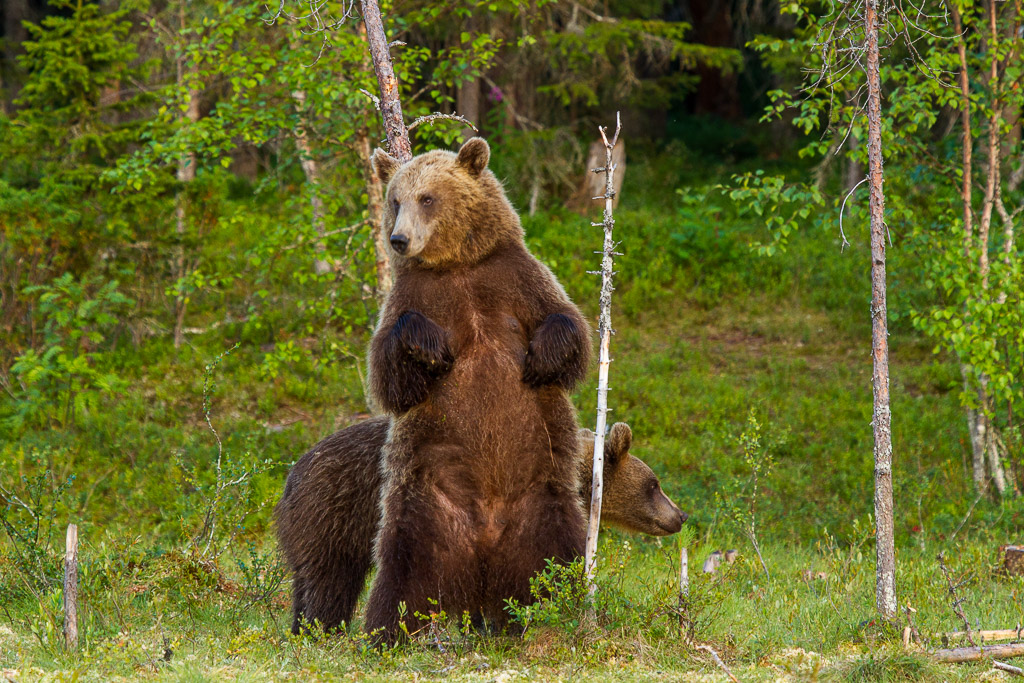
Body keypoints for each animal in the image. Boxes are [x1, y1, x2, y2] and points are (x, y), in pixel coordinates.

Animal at [366, 139, 593, 643]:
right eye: (396, 199)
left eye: (428, 197)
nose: (399, 240)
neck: (457, 265)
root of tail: (483, 556)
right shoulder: (413, 295)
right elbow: (389, 375)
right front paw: (429, 346)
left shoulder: (515, 278)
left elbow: (569, 327)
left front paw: (542, 356)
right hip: (426, 504)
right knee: (402, 571)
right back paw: (387, 632)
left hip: (543, 499)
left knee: (558, 557)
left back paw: (557, 613)